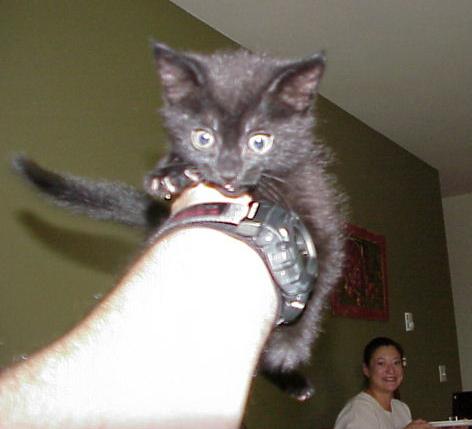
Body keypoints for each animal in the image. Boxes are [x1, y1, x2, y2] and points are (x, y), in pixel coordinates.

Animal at [13, 42, 346, 401]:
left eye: (259, 141)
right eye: (203, 138)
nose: (228, 172)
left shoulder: (320, 212)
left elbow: (319, 282)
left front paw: (289, 348)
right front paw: (171, 173)